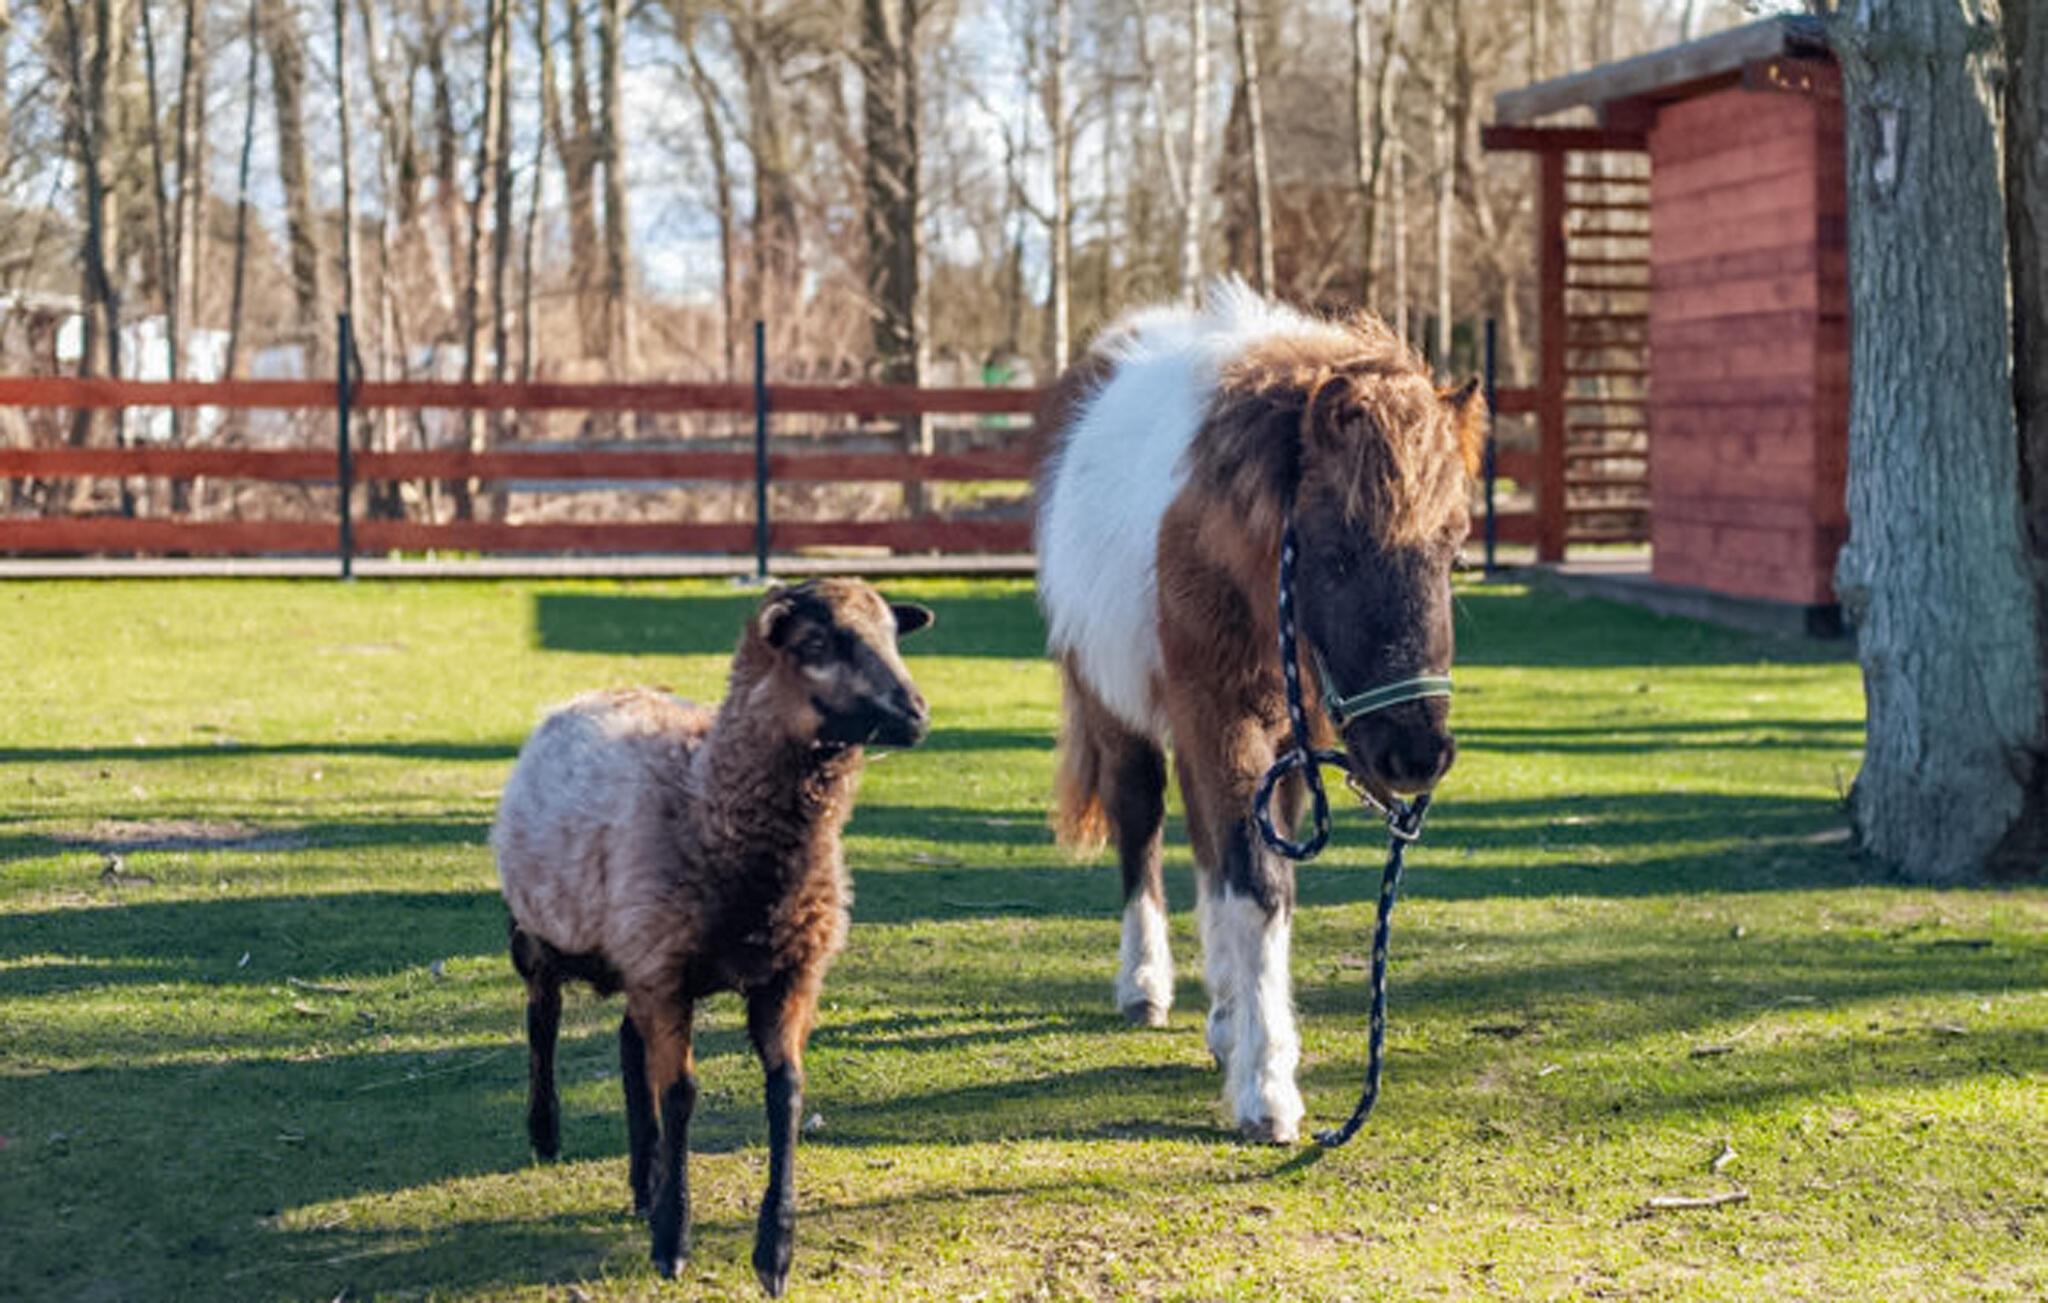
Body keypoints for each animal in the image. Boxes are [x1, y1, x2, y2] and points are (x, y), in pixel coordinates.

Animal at [493, 577, 933, 1295]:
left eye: (894, 637)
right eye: (817, 642)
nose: (916, 713)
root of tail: (591, 694)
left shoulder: (785, 974)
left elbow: (786, 1091)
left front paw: (773, 1251)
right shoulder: (667, 973)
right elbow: (681, 1095)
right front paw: (673, 1241)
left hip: (638, 953)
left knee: (627, 1042)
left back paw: (642, 1180)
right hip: (540, 931)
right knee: (543, 1018)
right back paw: (546, 1131)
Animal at [1034, 282, 1482, 1142]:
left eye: (1453, 550)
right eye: (1336, 551)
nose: (1416, 753)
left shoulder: (1287, 744)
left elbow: (1251, 876)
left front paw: (1245, 1035)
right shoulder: (1221, 720)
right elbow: (1259, 886)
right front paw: (1268, 1085)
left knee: (1210, 849)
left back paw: (1221, 1015)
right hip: (1117, 710)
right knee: (1142, 827)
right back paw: (1146, 982)